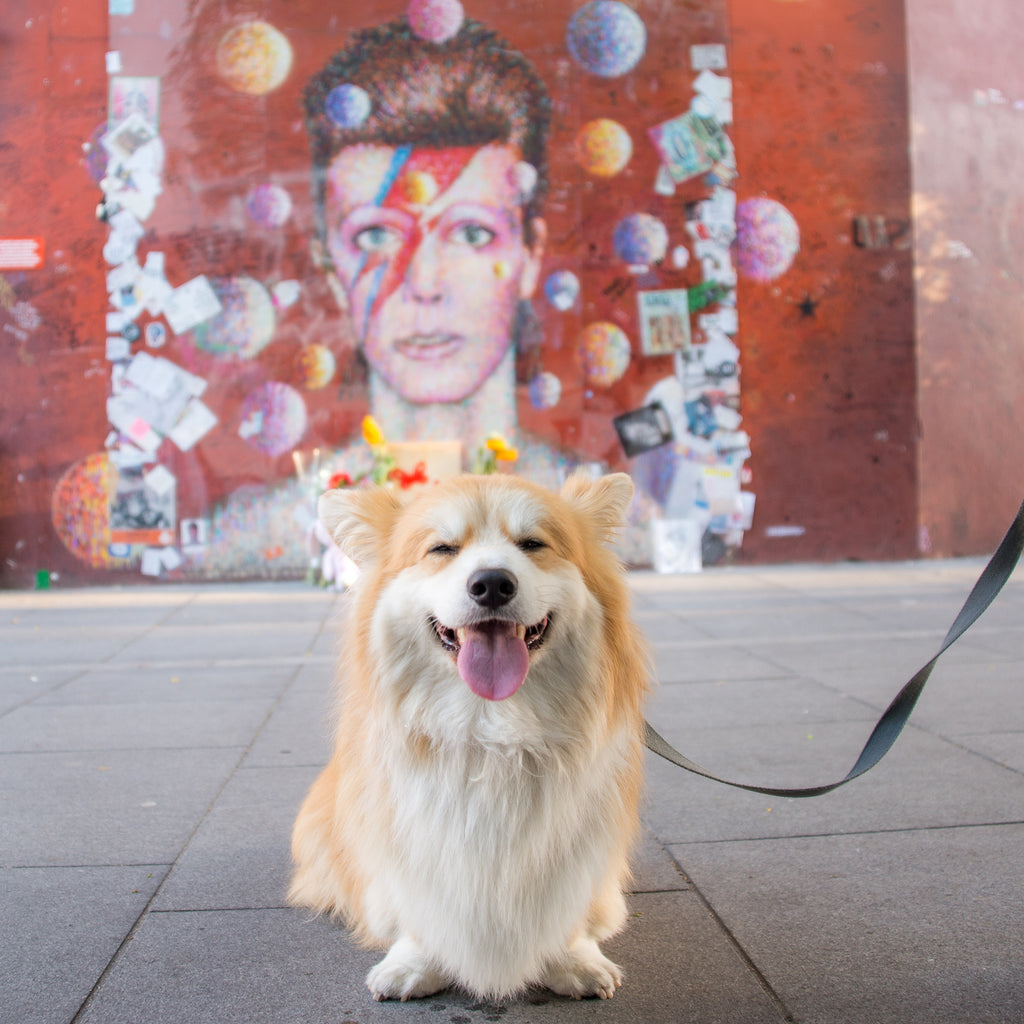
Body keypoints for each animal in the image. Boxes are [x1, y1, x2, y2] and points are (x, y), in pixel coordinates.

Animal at [288, 471, 647, 999]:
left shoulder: (581, 842)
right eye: (442, 549)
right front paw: (415, 962)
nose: (492, 583)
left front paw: (572, 959)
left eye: (533, 544)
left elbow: (569, 906)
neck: (490, 730)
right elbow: (415, 906)